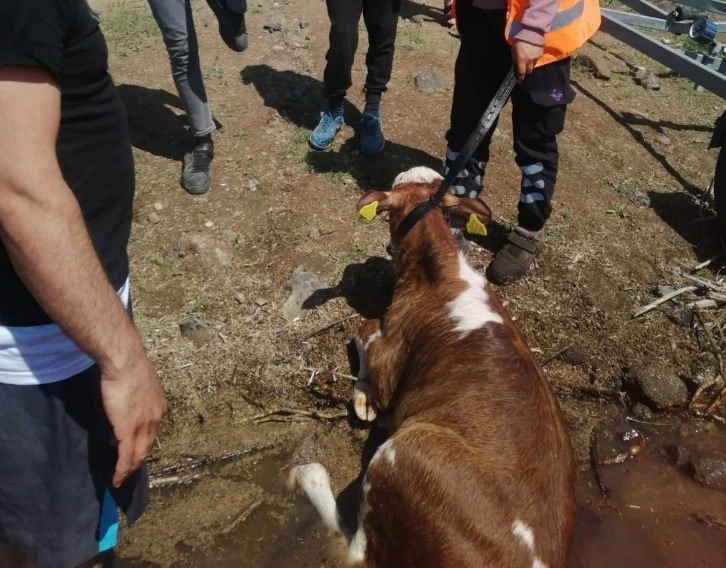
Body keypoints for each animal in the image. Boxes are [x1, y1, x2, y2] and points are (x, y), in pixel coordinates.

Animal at [288, 168, 576, 568]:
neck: (441, 272)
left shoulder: (392, 355)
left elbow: (363, 330)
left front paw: (363, 394)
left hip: (405, 456)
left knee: (352, 550)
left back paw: (309, 475)